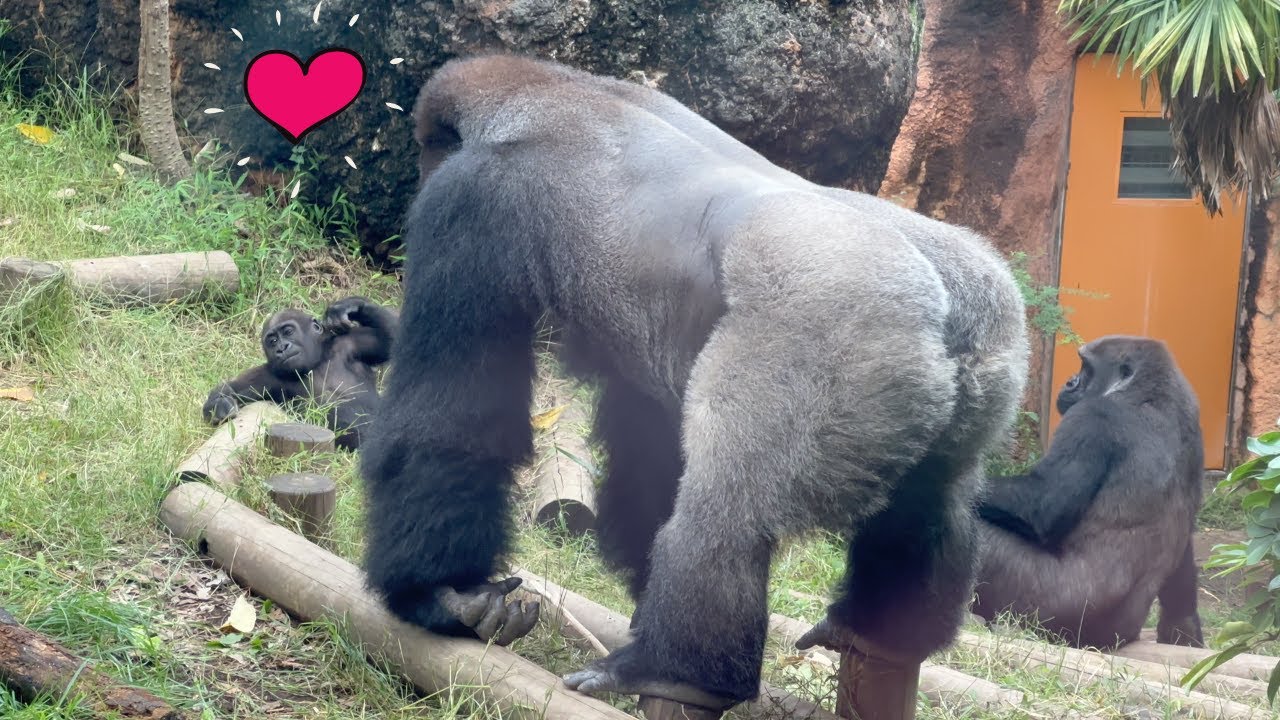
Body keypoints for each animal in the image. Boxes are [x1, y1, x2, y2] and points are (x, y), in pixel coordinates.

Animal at [203, 296, 396, 450]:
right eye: (273, 341)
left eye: (288, 331)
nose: (282, 348)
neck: (316, 362)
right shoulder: (268, 375)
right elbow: (233, 387)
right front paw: (220, 405)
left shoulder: (352, 342)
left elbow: (393, 344)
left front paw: (352, 305)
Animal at [359, 54, 1030, 710]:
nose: (414, 180)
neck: (547, 87)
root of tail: (948, 298)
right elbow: (646, 452)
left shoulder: (470, 202)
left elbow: (457, 417)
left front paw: (441, 596)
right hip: (986, 347)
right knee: (937, 494)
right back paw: (883, 632)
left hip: (833, 328)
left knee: (726, 516)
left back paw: (677, 671)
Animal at [972, 335, 1205, 649]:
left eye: (1087, 368)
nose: (1070, 381)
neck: (1150, 390)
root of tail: (1115, 640)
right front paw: (1183, 626)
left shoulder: (1093, 415)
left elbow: (1040, 504)